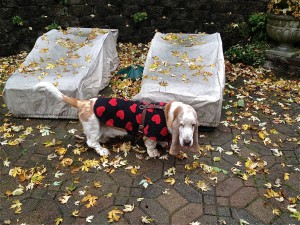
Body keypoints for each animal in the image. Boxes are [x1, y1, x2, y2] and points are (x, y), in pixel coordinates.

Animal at [33, 81, 199, 157]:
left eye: (193, 125)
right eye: (181, 125)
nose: (187, 142)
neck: (166, 113)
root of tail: (83, 103)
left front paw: (163, 142)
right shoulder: (149, 134)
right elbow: (150, 144)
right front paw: (154, 153)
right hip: (93, 127)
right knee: (91, 142)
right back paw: (102, 151)